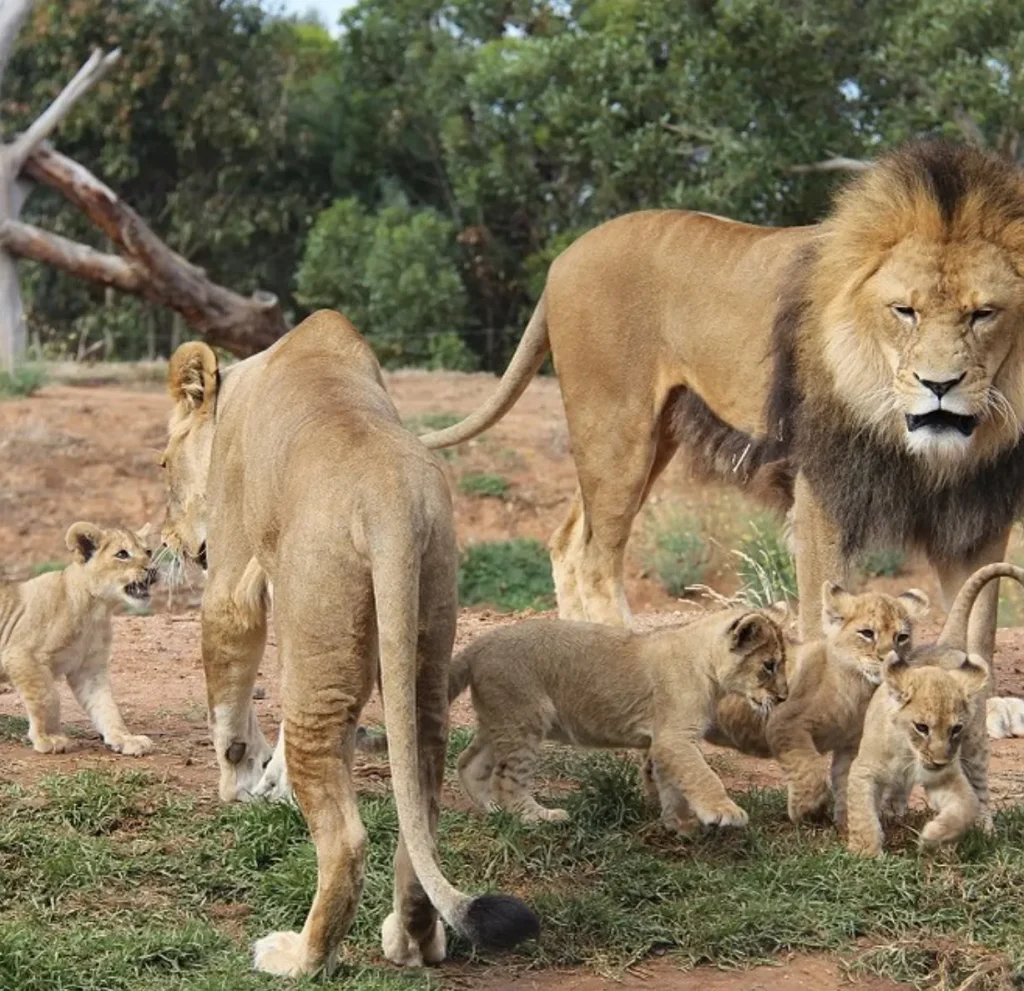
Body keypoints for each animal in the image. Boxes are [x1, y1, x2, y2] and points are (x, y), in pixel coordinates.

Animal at [159, 313, 536, 978]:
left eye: (162, 464)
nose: (170, 542)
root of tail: (389, 500)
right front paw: (266, 778)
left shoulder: (232, 577)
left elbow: (227, 697)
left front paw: (239, 783)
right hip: (423, 628)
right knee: (421, 809)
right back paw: (412, 941)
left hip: (322, 643)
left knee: (345, 840)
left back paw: (299, 957)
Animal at [419, 139, 1024, 667]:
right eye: (905, 311)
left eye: (983, 313)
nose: (940, 384)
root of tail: (563, 259)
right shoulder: (825, 486)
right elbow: (822, 608)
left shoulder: (980, 507)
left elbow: (979, 621)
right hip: (615, 428)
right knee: (595, 557)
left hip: (646, 435)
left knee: (569, 539)